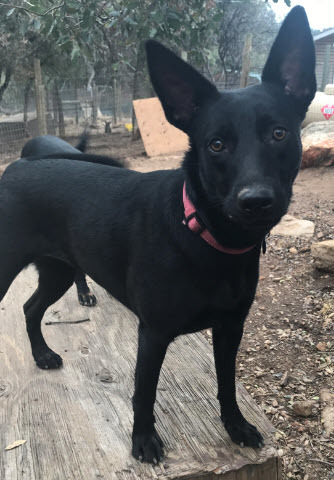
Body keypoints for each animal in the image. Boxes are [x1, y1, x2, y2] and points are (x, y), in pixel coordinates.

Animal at [0, 6, 314, 464]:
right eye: (215, 144)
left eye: (279, 133)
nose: (256, 201)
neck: (204, 240)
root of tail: (16, 166)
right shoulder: (153, 333)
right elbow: (143, 393)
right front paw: (143, 440)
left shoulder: (230, 328)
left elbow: (227, 384)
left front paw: (235, 426)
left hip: (57, 271)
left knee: (30, 307)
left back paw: (41, 354)